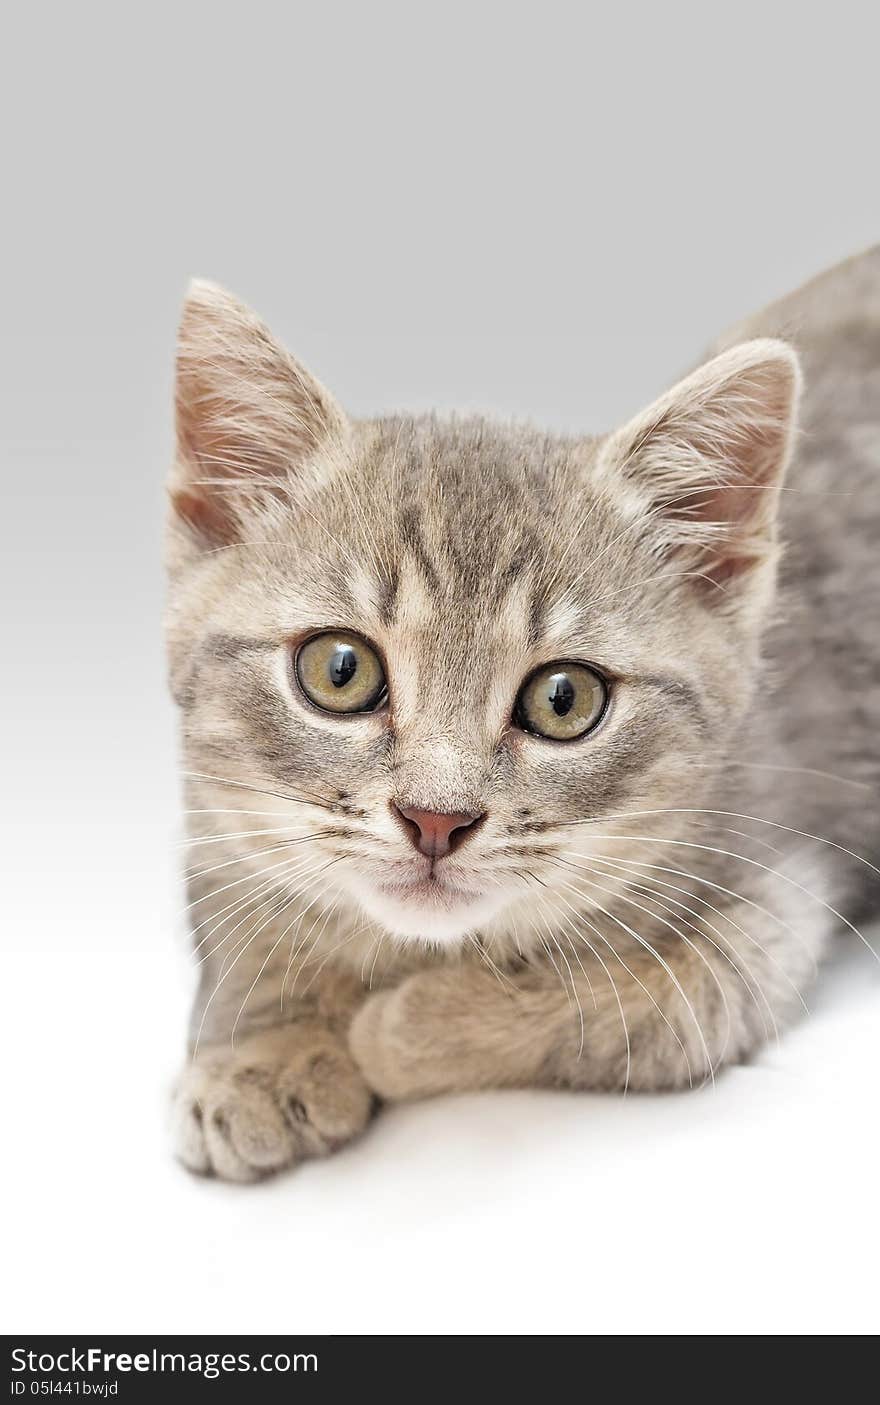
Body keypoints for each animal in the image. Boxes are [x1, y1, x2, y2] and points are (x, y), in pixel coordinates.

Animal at [167, 247, 871, 1180]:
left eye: (564, 699)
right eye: (340, 670)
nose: (435, 818)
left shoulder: (766, 913)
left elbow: (603, 1001)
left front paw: (396, 1028)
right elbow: (243, 904)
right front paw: (260, 1045)